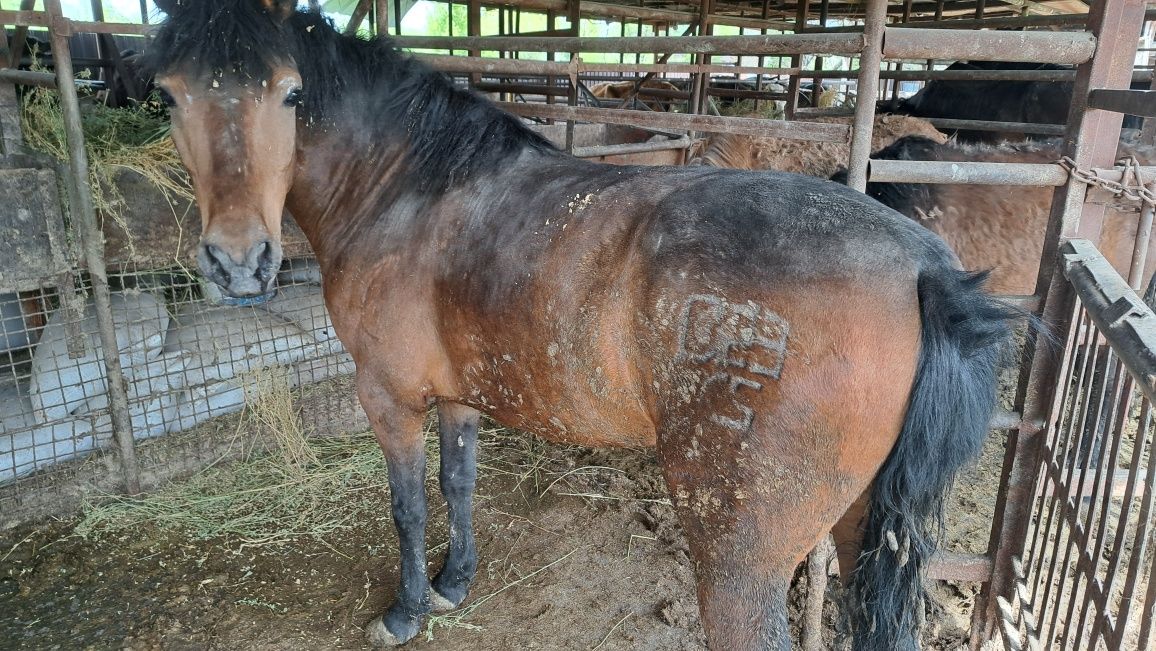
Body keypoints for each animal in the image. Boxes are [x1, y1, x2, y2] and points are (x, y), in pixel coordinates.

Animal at [139, 2, 1017, 647]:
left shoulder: (388, 397)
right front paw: (454, 583)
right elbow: (458, 484)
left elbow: (408, 506)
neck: (411, 191)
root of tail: (923, 271)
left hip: (740, 555)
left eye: (291, 93)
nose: (239, 262)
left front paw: (407, 609)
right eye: (168, 95)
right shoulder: (457, 393)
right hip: (865, 526)